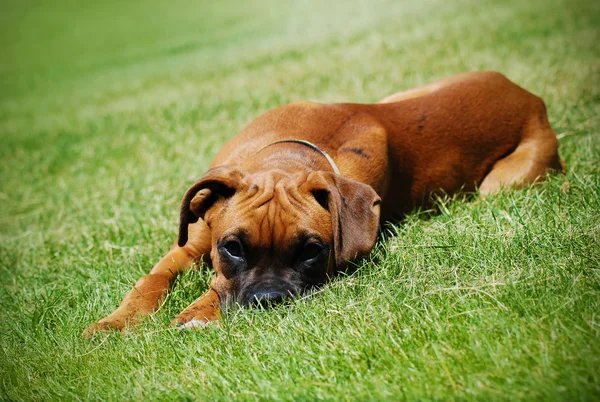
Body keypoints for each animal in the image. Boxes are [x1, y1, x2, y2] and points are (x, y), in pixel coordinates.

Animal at [82, 71, 564, 336]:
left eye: (311, 251)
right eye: (232, 247)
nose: (270, 299)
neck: (285, 157)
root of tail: (527, 94)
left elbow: (214, 288)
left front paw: (199, 312)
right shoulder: (190, 243)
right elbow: (151, 281)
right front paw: (115, 322)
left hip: (500, 184)